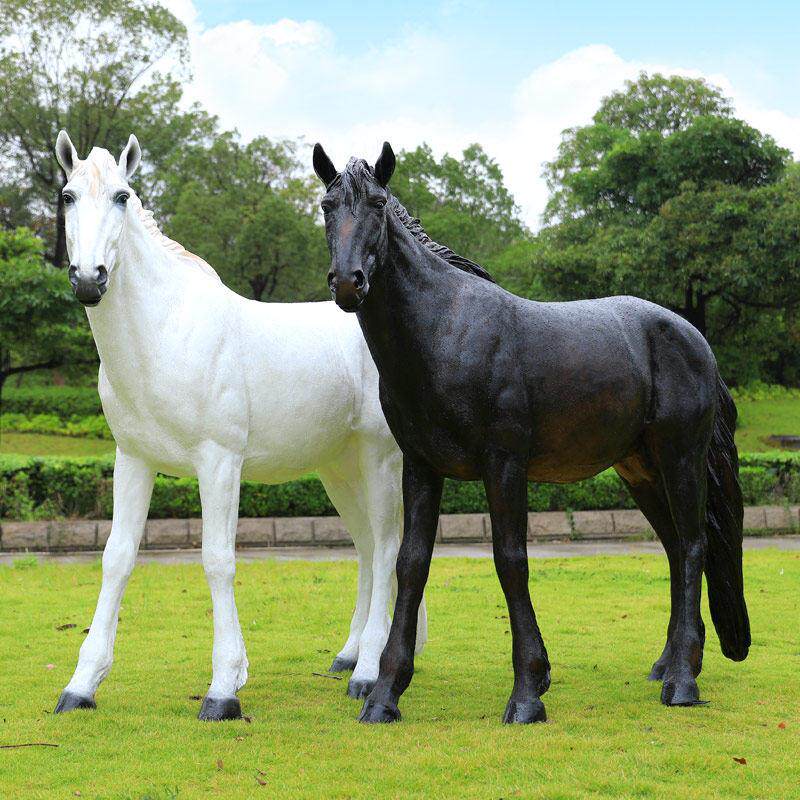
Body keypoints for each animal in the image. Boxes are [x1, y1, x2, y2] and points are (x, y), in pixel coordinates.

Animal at [51, 130, 426, 720]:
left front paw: (224, 687)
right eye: (67, 196)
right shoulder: (133, 459)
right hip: (338, 469)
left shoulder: (219, 462)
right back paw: (350, 656)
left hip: (379, 458)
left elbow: (218, 560)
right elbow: (116, 558)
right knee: (368, 548)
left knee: (387, 545)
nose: (90, 280)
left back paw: (368, 673)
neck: (166, 331)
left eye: (121, 196)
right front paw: (81, 685)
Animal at [313, 142, 750, 724]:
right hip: (640, 470)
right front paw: (385, 694)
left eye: (379, 204)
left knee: (696, 545)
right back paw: (670, 664)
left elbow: (510, 559)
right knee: (678, 550)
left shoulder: (505, 464)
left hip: (680, 458)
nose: (348, 282)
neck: (448, 330)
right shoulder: (422, 466)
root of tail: (693, 337)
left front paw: (527, 692)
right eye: (326, 205)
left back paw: (681, 682)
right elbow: (412, 562)